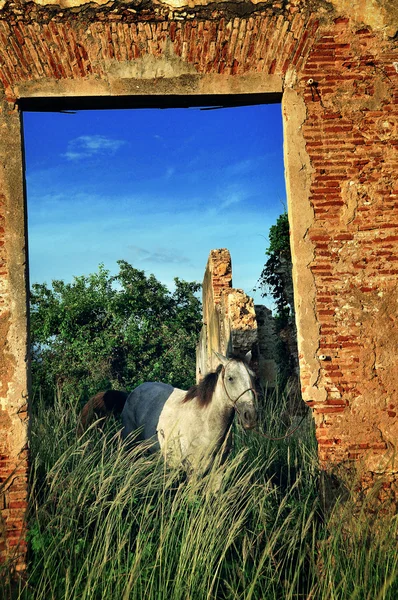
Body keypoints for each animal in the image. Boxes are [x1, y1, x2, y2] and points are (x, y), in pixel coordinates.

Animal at [79, 352, 256, 474]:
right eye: (230, 378)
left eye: (253, 377)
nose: (250, 416)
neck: (204, 422)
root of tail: (130, 394)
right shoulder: (193, 471)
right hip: (131, 444)